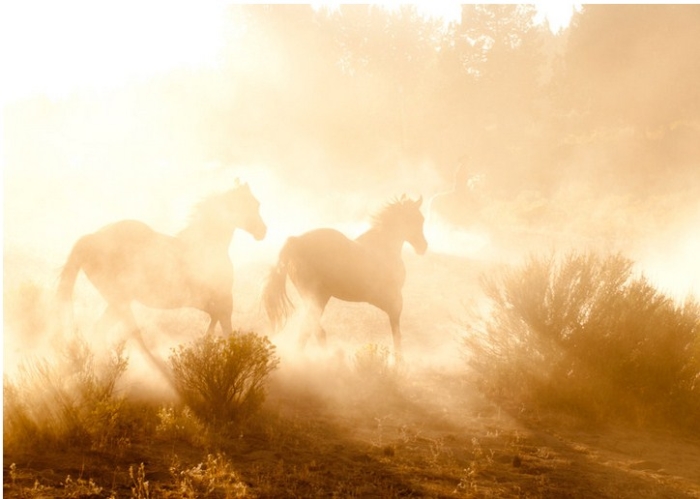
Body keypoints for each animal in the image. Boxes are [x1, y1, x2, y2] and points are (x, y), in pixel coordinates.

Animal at [56, 181, 266, 356]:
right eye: (252, 204)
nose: (263, 231)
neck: (205, 246)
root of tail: (92, 238)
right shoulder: (223, 301)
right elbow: (227, 331)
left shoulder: (212, 303)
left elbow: (213, 326)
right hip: (119, 299)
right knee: (112, 333)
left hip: (118, 301)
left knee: (100, 331)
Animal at [262, 195, 426, 356]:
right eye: (417, 219)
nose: (423, 247)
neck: (383, 248)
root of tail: (295, 241)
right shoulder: (393, 299)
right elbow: (396, 333)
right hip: (317, 296)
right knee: (311, 330)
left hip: (315, 298)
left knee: (311, 330)